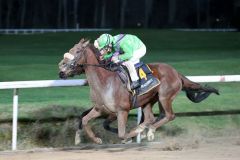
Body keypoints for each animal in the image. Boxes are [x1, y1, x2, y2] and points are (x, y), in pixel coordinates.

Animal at [58, 39, 219, 144]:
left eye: (77, 51)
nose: (61, 68)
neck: (105, 81)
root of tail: (176, 72)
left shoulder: (121, 111)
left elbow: (121, 133)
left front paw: (130, 136)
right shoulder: (100, 109)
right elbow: (85, 119)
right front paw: (94, 139)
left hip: (165, 96)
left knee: (169, 116)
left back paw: (148, 131)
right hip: (148, 100)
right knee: (151, 118)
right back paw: (144, 129)